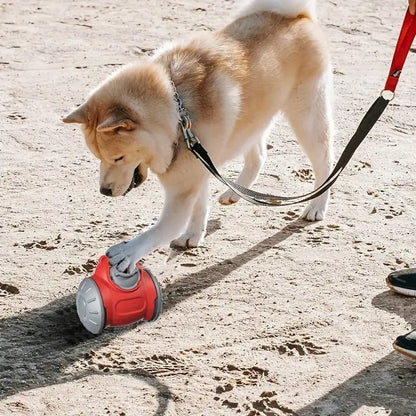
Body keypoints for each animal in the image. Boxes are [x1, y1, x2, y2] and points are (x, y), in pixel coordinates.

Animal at [63, 1, 334, 278]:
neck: (178, 112)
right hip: (252, 123)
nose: (104, 191)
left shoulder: (183, 188)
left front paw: (129, 251)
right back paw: (233, 193)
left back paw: (316, 206)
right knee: (258, 155)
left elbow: (162, 229)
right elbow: (200, 206)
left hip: (306, 119)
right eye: (98, 157)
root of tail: (298, 16)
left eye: (118, 158)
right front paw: (193, 235)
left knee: (325, 162)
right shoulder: (199, 165)